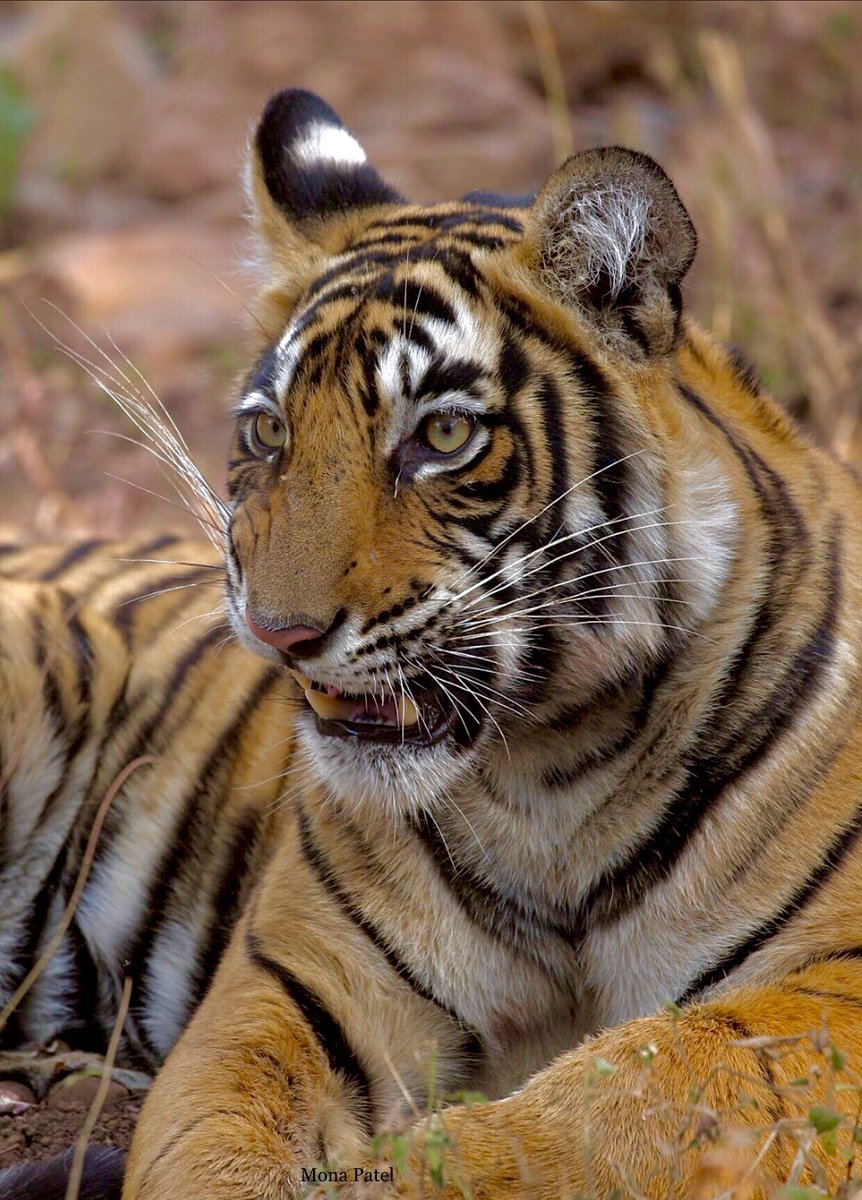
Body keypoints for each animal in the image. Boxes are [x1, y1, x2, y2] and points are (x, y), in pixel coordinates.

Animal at [1, 87, 862, 1200]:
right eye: (270, 433)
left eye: (443, 437)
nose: (279, 633)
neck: (555, 777)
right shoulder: (287, 994)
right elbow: (218, 1154)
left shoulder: (836, 980)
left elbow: (627, 1090)